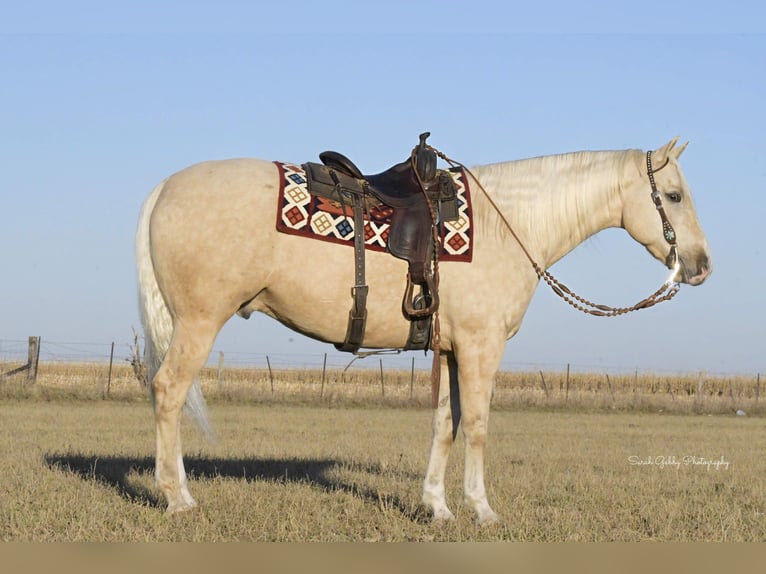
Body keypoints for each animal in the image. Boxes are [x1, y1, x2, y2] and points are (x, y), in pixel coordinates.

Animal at [136, 137, 712, 524]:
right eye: (674, 196)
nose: (702, 265)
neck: (509, 226)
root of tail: (166, 186)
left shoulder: (451, 350)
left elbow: (445, 424)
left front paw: (437, 506)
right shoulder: (481, 347)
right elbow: (476, 425)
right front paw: (482, 509)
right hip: (199, 323)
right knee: (168, 392)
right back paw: (177, 497)